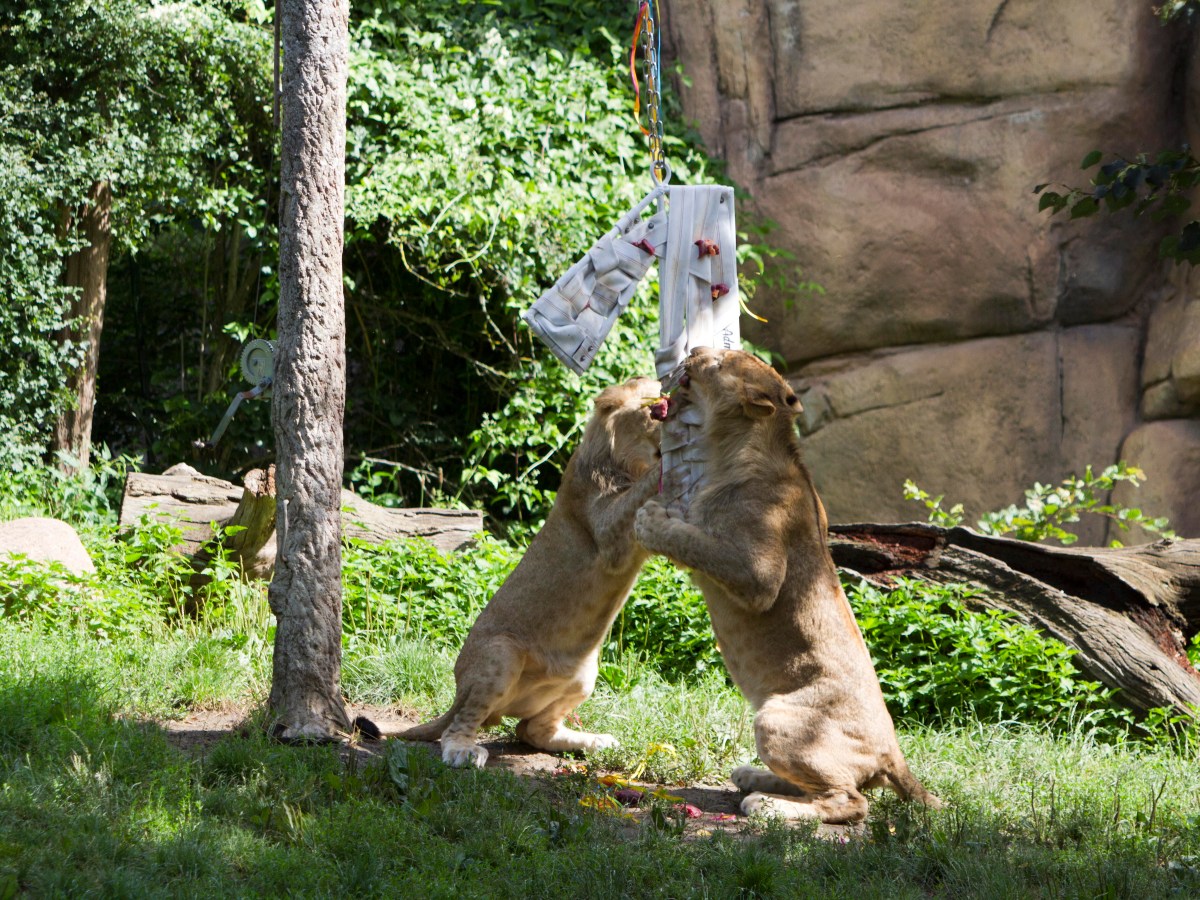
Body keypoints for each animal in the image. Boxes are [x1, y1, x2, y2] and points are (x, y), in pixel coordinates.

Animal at [403, 376, 667, 763]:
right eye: (656, 408)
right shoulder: (606, 534)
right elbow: (637, 495)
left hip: (585, 673)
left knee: (531, 730)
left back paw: (593, 740)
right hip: (501, 655)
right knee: (461, 724)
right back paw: (463, 751)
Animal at [633, 348, 940, 825]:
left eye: (718, 362)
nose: (694, 351)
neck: (733, 449)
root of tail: (894, 753)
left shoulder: (759, 574)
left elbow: (696, 541)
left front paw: (652, 520)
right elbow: (693, 534)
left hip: (776, 719)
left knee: (852, 802)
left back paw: (766, 805)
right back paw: (753, 777)